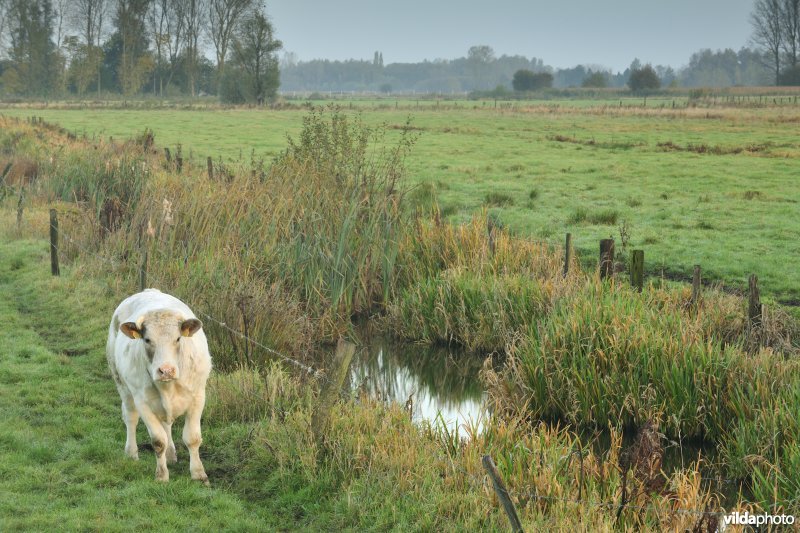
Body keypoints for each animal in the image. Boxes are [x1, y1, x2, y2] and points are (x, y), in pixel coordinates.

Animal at [106, 288, 212, 484]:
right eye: (147, 340)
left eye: (178, 338)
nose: (166, 370)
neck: (169, 387)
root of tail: (149, 290)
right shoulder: (143, 402)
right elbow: (158, 441)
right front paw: (162, 476)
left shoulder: (198, 397)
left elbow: (192, 438)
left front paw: (199, 474)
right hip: (121, 384)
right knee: (130, 418)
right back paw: (131, 453)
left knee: (166, 424)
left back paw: (170, 454)